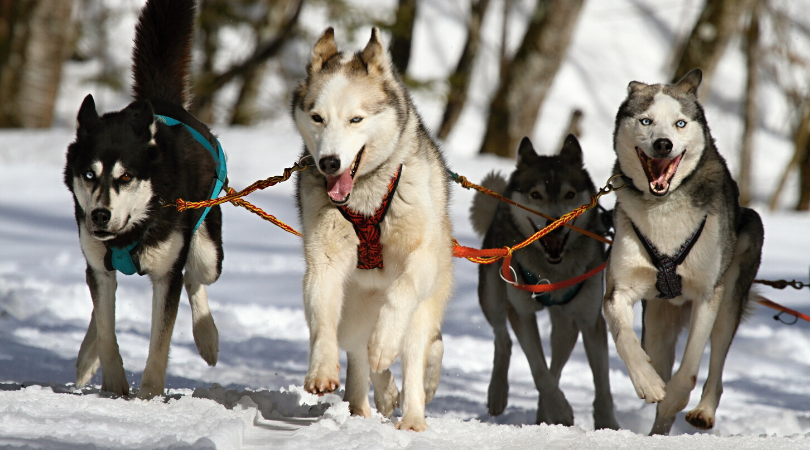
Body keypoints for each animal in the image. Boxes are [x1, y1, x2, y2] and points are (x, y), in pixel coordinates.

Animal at [64, 0, 224, 400]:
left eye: (126, 176)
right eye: (88, 174)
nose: (100, 215)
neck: (131, 233)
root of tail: (164, 103)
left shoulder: (167, 275)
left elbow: (160, 344)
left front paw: (149, 395)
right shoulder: (99, 265)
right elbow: (107, 330)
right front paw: (114, 386)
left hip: (207, 251)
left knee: (195, 277)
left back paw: (207, 336)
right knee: (99, 306)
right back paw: (87, 356)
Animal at [292, 27, 454, 428]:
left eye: (356, 119)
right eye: (317, 117)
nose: (329, 162)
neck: (365, 197)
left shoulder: (421, 258)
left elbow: (401, 294)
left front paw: (384, 343)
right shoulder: (324, 262)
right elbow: (321, 320)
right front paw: (321, 370)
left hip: (424, 308)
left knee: (414, 352)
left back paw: (412, 417)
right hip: (353, 310)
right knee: (358, 352)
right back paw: (368, 401)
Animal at [470, 136, 616, 428]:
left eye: (570, 195)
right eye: (535, 195)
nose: (555, 223)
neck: (552, 271)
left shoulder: (590, 320)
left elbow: (601, 383)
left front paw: (607, 424)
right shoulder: (522, 314)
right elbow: (538, 370)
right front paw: (560, 410)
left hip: (567, 324)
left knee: (557, 364)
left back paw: (542, 414)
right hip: (492, 295)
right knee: (503, 339)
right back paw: (498, 393)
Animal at [604, 68, 760, 434]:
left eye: (679, 123)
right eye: (646, 121)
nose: (664, 143)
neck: (664, 208)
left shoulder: (707, 294)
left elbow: (689, 369)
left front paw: (675, 396)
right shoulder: (619, 290)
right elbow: (624, 337)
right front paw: (648, 382)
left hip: (730, 297)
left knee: (716, 364)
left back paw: (702, 411)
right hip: (657, 323)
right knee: (658, 355)